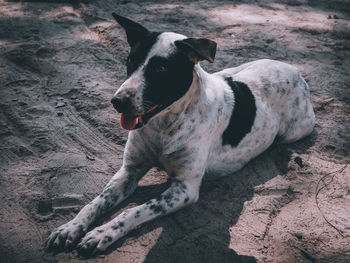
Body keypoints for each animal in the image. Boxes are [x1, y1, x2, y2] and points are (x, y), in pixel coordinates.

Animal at [45, 12, 314, 256]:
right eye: (130, 61)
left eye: (161, 68)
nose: (117, 102)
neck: (163, 125)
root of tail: (294, 70)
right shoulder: (129, 170)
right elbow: (95, 202)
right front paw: (70, 227)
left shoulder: (185, 188)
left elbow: (135, 210)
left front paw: (104, 232)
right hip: (234, 69)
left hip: (295, 130)